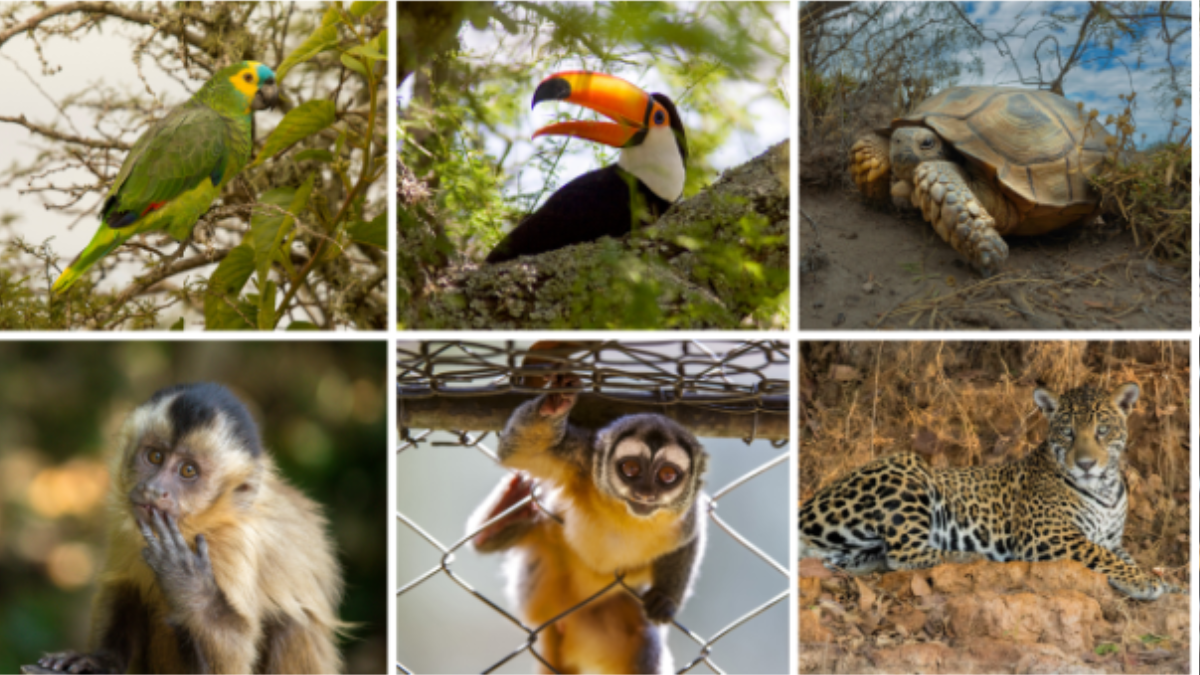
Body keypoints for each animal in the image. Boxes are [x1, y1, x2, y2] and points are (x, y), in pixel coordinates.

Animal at [35, 382, 344, 674]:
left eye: (188, 471)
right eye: (155, 456)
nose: (154, 489)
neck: (198, 523)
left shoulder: (232, 544)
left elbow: (235, 657)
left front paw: (189, 583)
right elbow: (124, 587)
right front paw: (99, 659)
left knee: (292, 623)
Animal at [469, 373, 708, 674]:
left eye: (667, 475)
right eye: (631, 469)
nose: (645, 494)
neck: (624, 513)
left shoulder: (687, 516)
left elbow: (689, 541)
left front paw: (666, 599)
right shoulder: (582, 460)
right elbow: (525, 451)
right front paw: (554, 404)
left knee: (644, 645)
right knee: (490, 542)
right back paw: (504, 513)